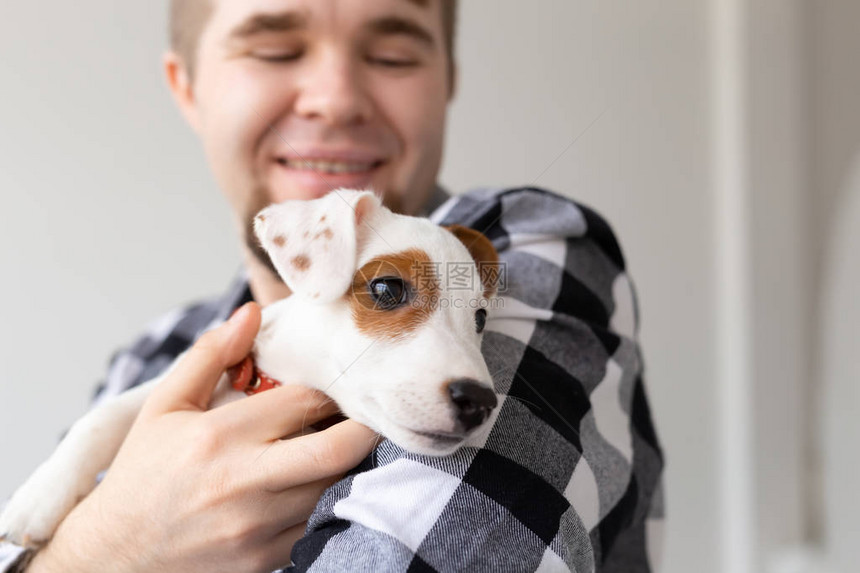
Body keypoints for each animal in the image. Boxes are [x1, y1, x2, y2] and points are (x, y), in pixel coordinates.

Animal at [0, 189, 500, 548]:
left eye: (480, 318)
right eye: (387, 289)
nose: (480, 401)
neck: (268, 383)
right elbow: (101, 418)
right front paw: (36, 500)